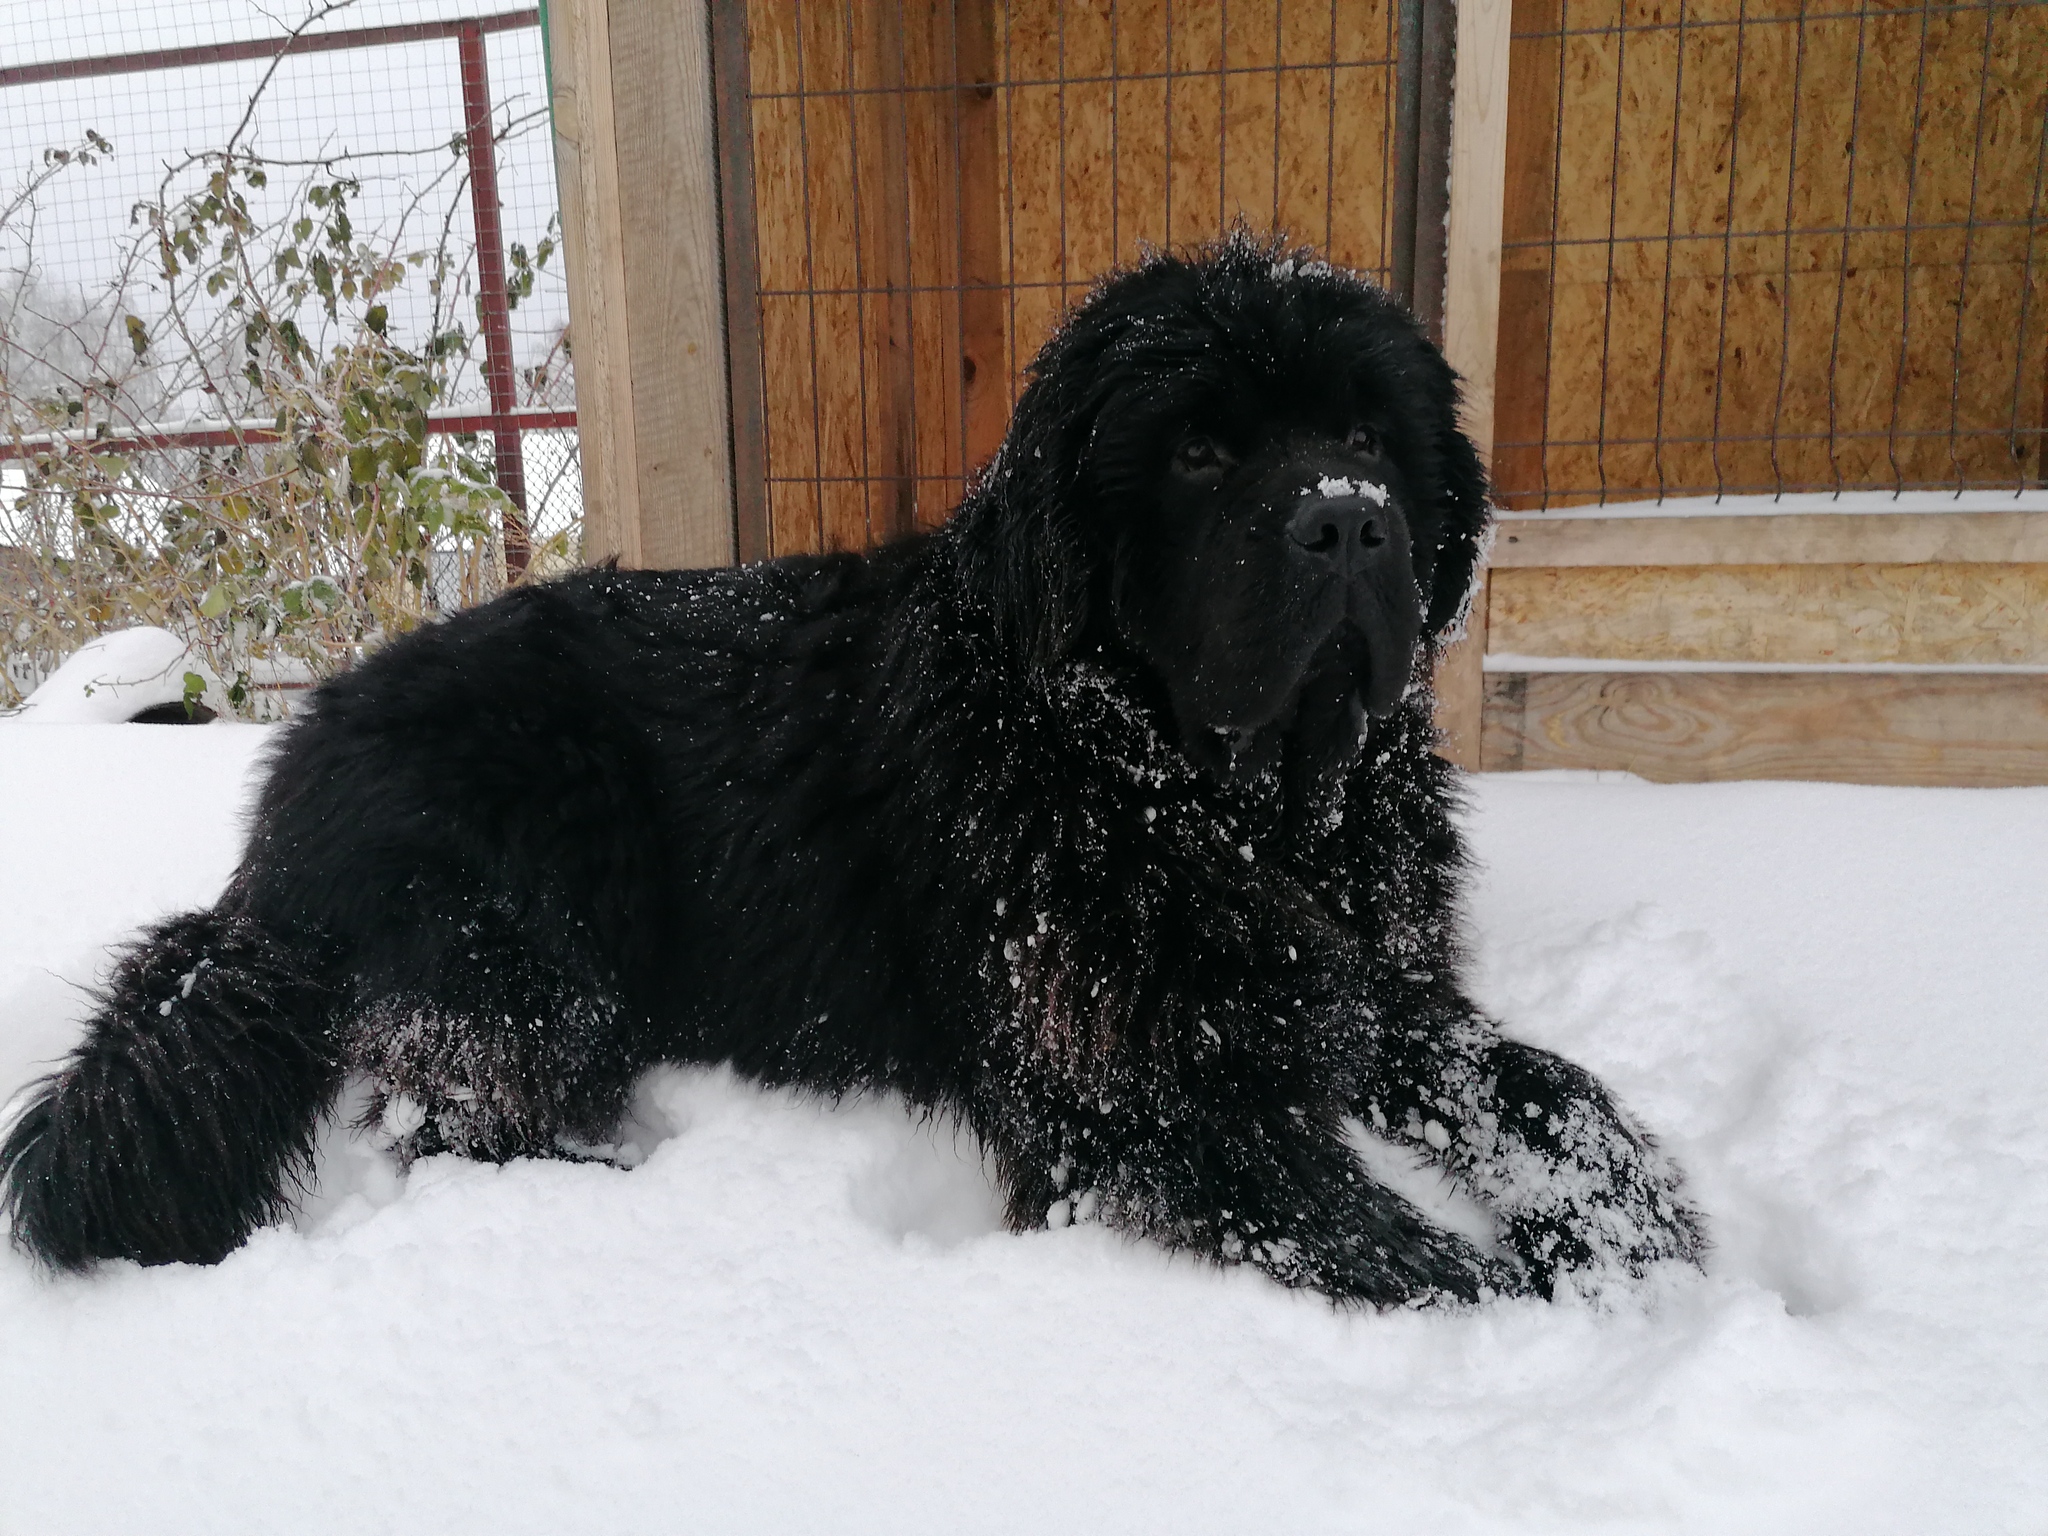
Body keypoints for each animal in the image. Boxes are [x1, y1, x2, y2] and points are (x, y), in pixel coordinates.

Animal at [0, 234, 1703, 1302]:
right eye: (1203, 451)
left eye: (1365, 433)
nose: (1350, 522)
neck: (1217, 805)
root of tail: (282, 795)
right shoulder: (1116, 1095)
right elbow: (1378, 1236)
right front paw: (1539, 1298)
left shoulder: (1380, 990)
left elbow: (1547, 1093)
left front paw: (1633, 1231)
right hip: (537, 939)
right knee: (464, 1126)